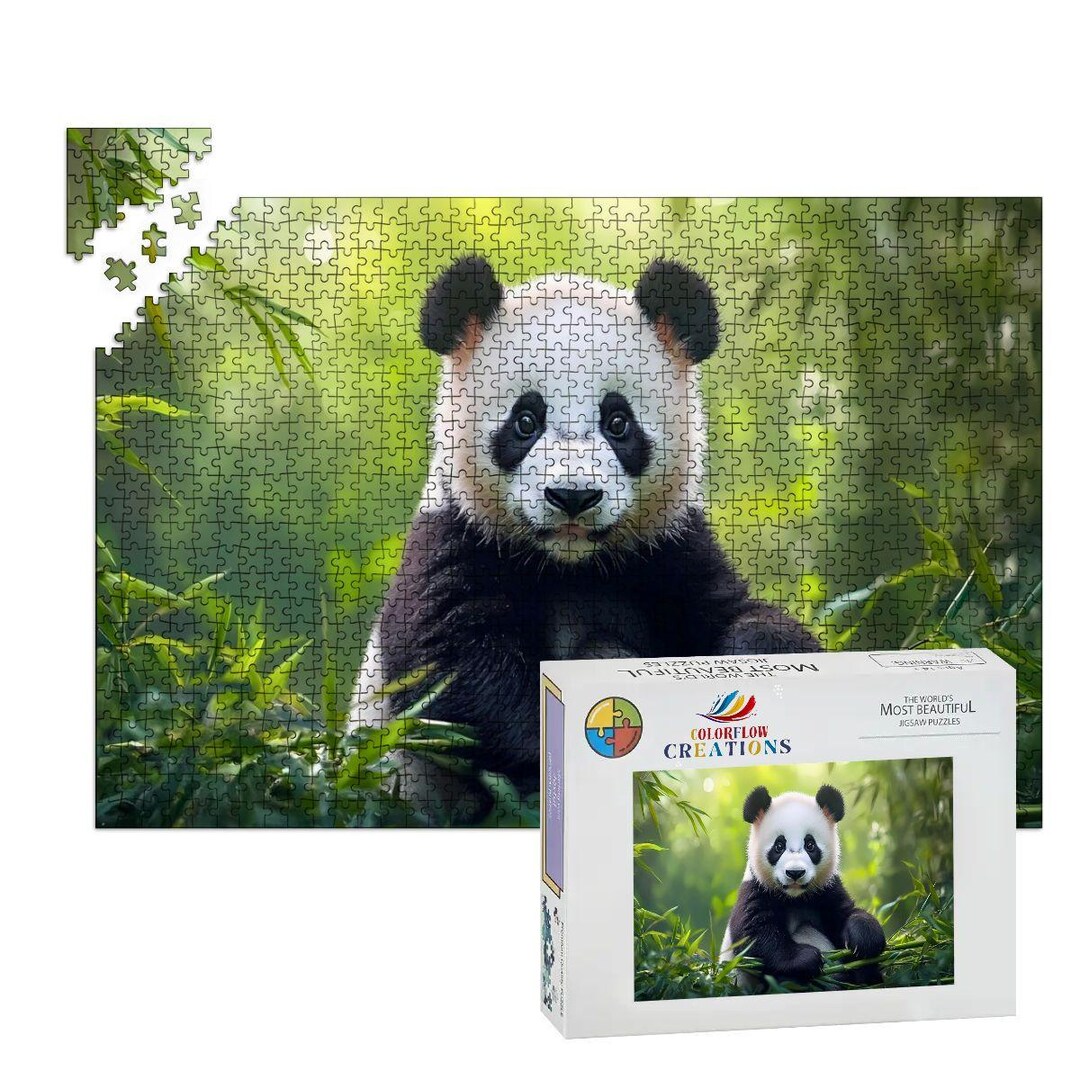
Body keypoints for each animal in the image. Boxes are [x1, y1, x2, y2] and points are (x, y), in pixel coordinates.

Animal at [352, 256, 820, 820]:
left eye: (618, 421)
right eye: (525, 420)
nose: (572, 496)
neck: (569, 564)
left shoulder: (666, 549)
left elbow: (731, 612)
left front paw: (763, 659)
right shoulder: (455, 539)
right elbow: (448, 670)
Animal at [720, 784, 886, 988]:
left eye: (810, 844)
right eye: (779, 846)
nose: (795, 873)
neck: (794, 898)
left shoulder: (825, 890)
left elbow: (846, 913)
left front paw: (865, 939)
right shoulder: (756, 890)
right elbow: (754, 935)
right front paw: (807, 958)